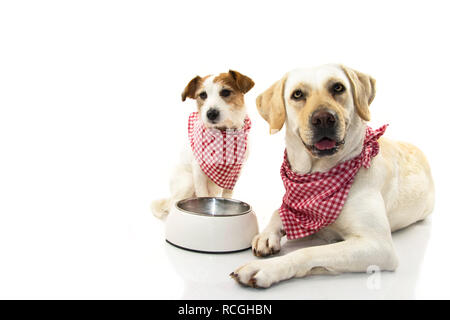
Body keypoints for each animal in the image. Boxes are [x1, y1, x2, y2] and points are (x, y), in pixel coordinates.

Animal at [152, 70, 255, 219]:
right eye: (203, 95)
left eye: (225, 92)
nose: (211, 113)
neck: (222, 133)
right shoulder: (198, 172)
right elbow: (202, 195)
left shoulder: (235, 172)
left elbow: (227, 194)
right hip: (188, 182)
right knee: (172, 205)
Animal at [230, 63, 434, 288]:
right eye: (297, 94)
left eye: (338, 87)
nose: (323, 119)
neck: (319, 178)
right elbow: (278, 212)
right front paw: (267, 235)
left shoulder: (378, 245)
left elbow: (308, 252)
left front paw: (267, 268)